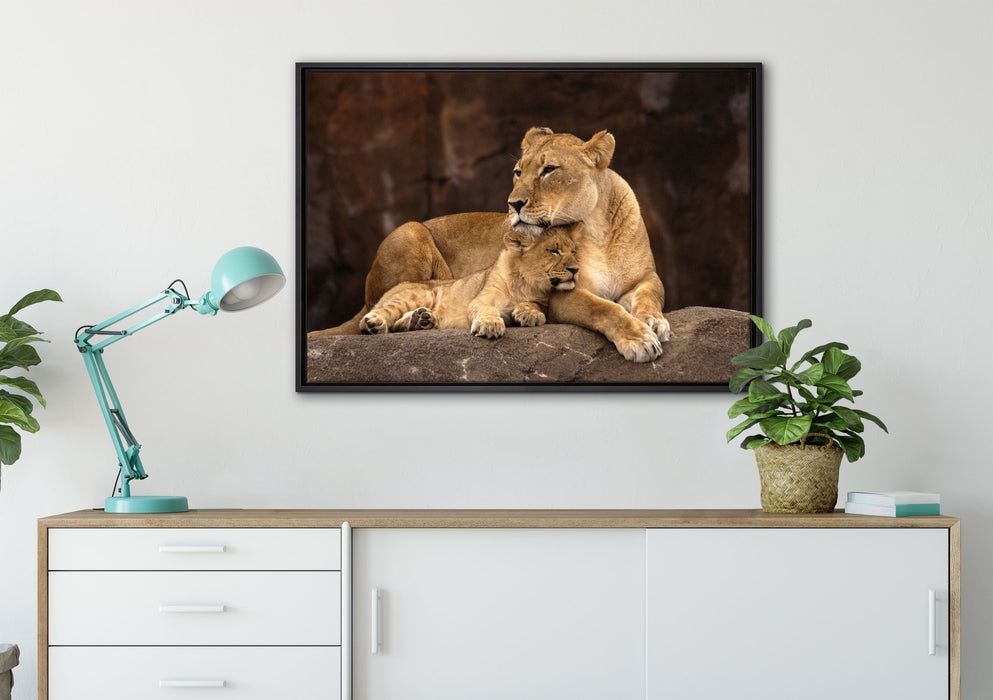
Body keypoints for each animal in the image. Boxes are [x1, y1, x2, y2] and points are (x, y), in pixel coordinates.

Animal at [360, 225, 580, 340]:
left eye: (573, 251)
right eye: (554, 251)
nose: (576, 270)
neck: (527, 284)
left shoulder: (543, 301)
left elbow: (535, 305)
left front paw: (529, 314)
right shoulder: (481, 299)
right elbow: (486, 309)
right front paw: (490, 325)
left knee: (398, 324)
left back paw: (422, 319)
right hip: (419, 293)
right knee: (382, 315)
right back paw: (374, 324)